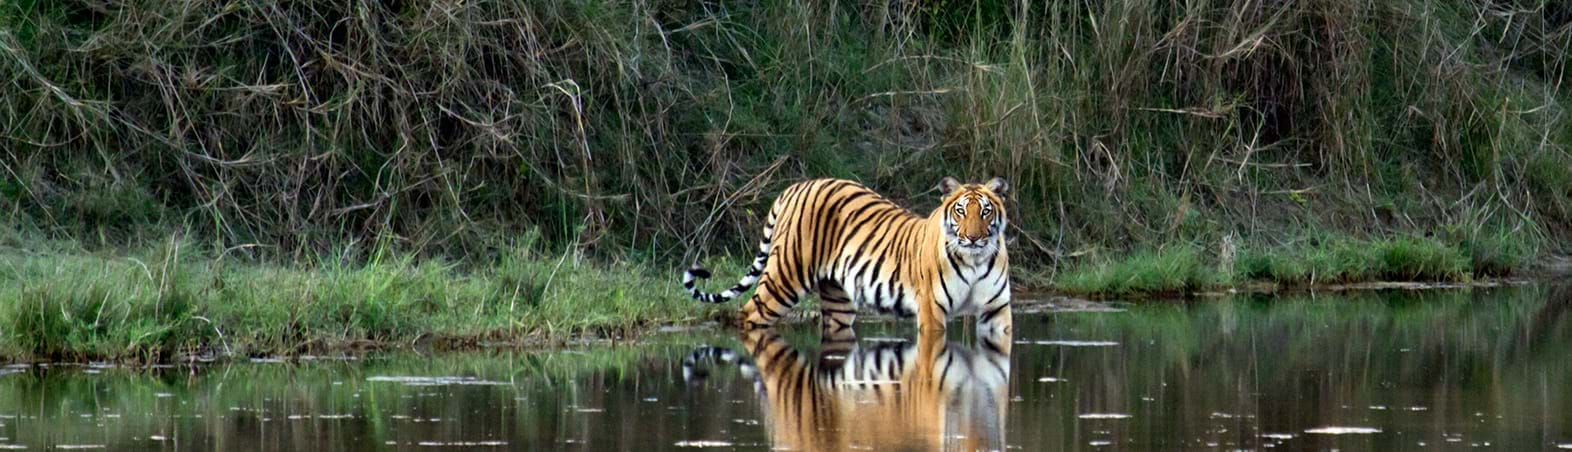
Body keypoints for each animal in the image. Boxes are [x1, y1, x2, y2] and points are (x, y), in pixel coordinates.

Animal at [682, 178, 1012, 334]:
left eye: (985, 211)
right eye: (961, 211)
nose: (973, 238)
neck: (975, 260)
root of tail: (796, 186)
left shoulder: (997, 310)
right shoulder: (932, 311)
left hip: (837, 299)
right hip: (785, 277)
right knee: (748, 314)